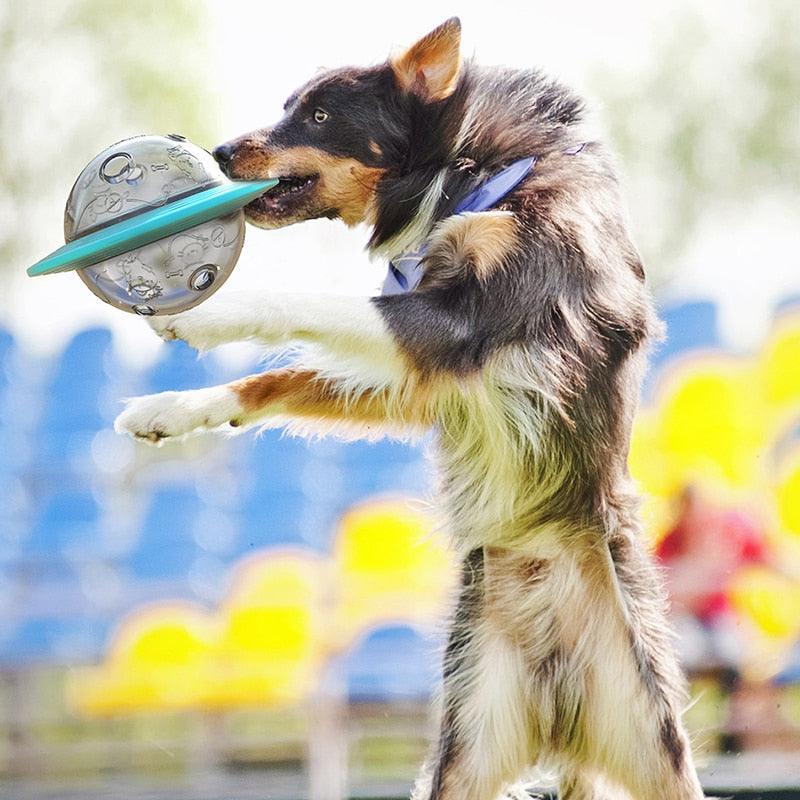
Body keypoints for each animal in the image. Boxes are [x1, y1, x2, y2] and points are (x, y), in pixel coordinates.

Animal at [114, 18, 708, 800]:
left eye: (320, 116)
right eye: (291, 107)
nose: (219, 151)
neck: (466, 170)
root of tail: (562, 710)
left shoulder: (463, 326)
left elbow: (308, 303)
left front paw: (206, 312)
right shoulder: (427, 380)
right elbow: (287, 374)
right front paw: (173, 408)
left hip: (653, 742)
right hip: (466, 745)